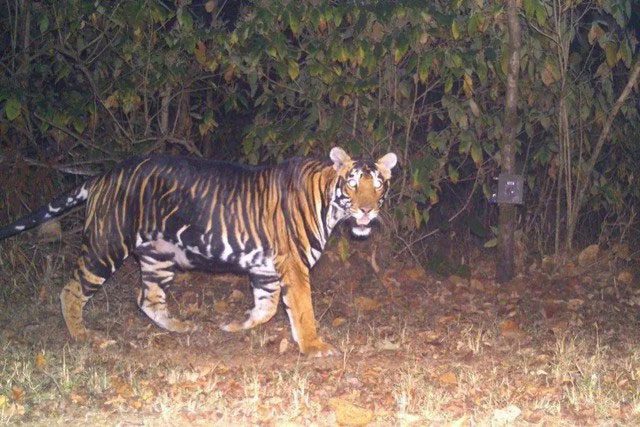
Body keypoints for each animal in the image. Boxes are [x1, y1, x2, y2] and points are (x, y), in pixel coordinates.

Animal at [0, 147, 398, 358]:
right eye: (352, 184)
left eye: (378, 185)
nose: (367, 210)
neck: (329, 201)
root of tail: (102, 176)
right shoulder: (294, 265)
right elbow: (301, 309)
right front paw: (314, 346)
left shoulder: (266, 269)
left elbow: (267, 308)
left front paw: (235, 326)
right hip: (105, 246)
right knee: (71, 291)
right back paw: (85, 337)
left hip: (159, 256)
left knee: (148, 299)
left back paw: (180, 327)